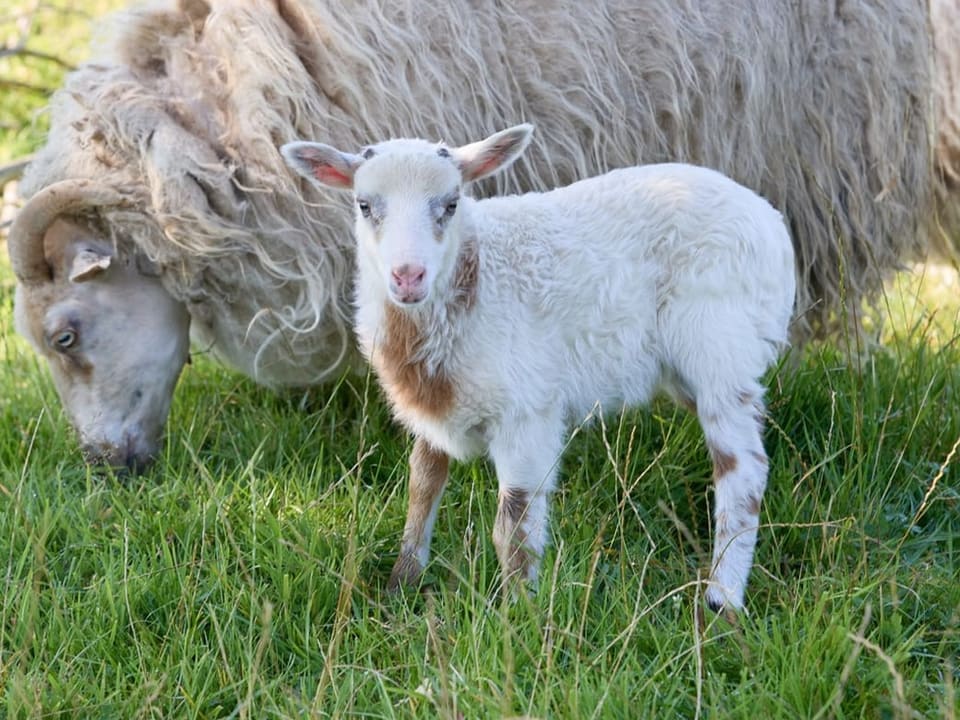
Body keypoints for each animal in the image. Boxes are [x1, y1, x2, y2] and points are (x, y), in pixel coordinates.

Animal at [282, 125, 800, 612]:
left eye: (451, 204)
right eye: (364, 205)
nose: (408, 276)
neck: (473, 281)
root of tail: (772, 225)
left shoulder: (527, 412)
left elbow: (511, 525)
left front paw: (518, 614)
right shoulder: (435, 404)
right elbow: (422, 486)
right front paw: (401, 584)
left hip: (719, 344)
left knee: (743, 471)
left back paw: (721, 599)